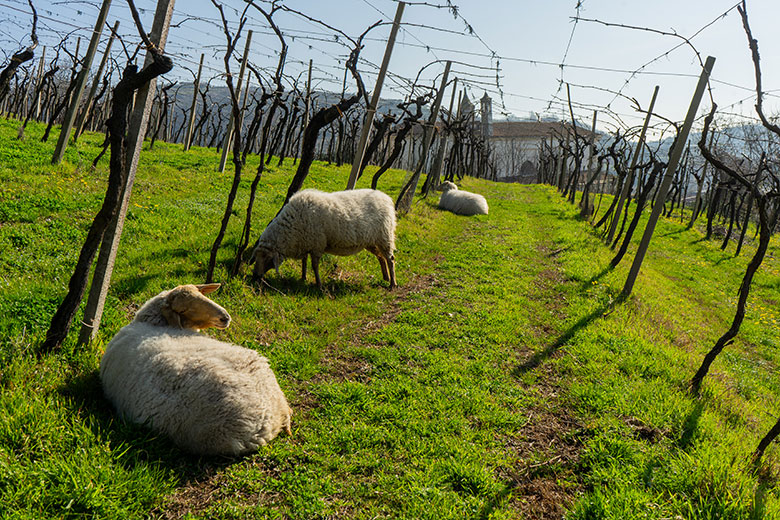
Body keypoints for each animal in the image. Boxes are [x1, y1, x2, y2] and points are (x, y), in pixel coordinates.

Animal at [250, 188, 397, 289]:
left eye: (268, 259)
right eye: (256, 257)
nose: (255, 277)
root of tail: (386, 198)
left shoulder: (317, 245)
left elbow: (314, 266)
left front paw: (318, 285)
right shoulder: (306, 243)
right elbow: (304, 262)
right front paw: (303, 277)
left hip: (385, 236)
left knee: (390, 259)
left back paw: (392, 284)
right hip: (371, 241)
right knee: (381, 257)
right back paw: (385, 277)